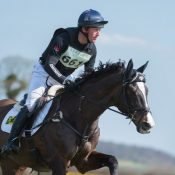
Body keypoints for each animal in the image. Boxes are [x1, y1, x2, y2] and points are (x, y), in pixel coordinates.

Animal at [0, 59, 154, 174]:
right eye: (132, 91)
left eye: (146, 91)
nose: (148, 124)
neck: (81, 118)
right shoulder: (59, 162)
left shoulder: (83, 161)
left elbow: (112, 161)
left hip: (16, 164)